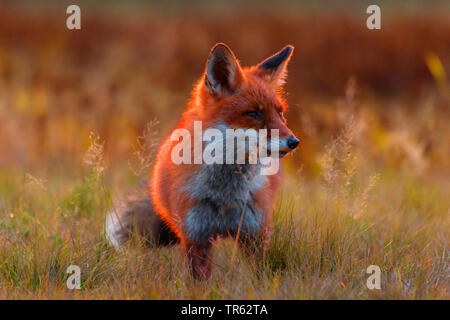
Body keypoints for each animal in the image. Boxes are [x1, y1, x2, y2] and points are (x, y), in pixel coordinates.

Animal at [105, 43, 298, 280]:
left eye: (281, 113)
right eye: (253, 113)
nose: (294, 141)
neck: (225, 194)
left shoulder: (254, 233)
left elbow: (258, 275)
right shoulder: (195, 235)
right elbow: (200, 280)